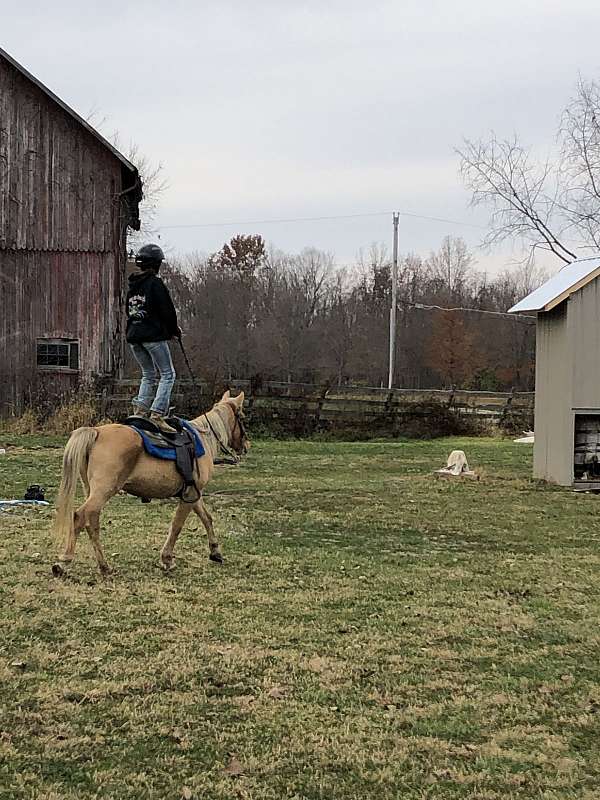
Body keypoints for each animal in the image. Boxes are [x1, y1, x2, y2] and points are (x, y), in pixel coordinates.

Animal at [52, 391, 248, 576]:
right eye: (242, 417)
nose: (246, 446)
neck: (202, 439)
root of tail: (96, 432)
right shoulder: (190, 495)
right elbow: (177, 525)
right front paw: (167, 559)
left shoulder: (194, 494)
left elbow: (207, 518)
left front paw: (215, 552)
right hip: (103, 491)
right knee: (79, 516)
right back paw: (64, 562)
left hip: (92, 491)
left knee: (91, 522)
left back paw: (104, 566)